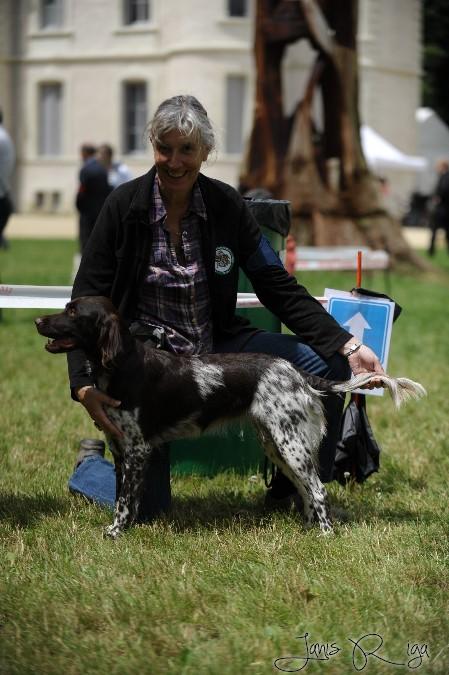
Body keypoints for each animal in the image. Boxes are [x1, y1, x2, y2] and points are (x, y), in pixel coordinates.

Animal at [35, 295, 426, 538]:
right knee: (307, 489)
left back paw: (326, 534)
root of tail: (295, 372)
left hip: (290, 444)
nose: (39, 319)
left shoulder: (137, 449)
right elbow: (123, 498)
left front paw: (115, 532)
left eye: (73, 312)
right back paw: (311, 529)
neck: (124, 365)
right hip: (278, 445)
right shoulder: (120, 447)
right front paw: (123, 528)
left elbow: (124, 502)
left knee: (317, 488)